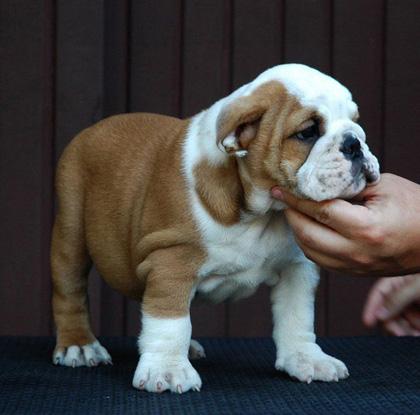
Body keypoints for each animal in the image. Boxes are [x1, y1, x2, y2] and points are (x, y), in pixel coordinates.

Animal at [51, 64, 380, 394]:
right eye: (308, 132)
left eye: (355, 122)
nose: (354, 143)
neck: (259, 211)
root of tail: (92, 130)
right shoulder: (171, 262)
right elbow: (169, 320)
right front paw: (167, 368)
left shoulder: (295, 268)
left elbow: (297, 316)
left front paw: (307, 358)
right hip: (71, 232)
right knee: (71, 291)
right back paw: (79, 345)